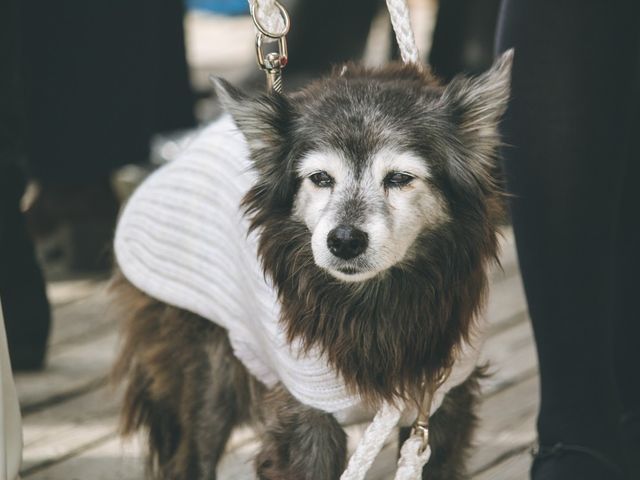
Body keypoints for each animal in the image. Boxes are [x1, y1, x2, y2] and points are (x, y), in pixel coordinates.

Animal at [112, 49, 512, 480]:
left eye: (400, 178)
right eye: (320, 178)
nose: (344, 241)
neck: (371, 301)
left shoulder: (440, 401)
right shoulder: (306, 415)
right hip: (206, 375)